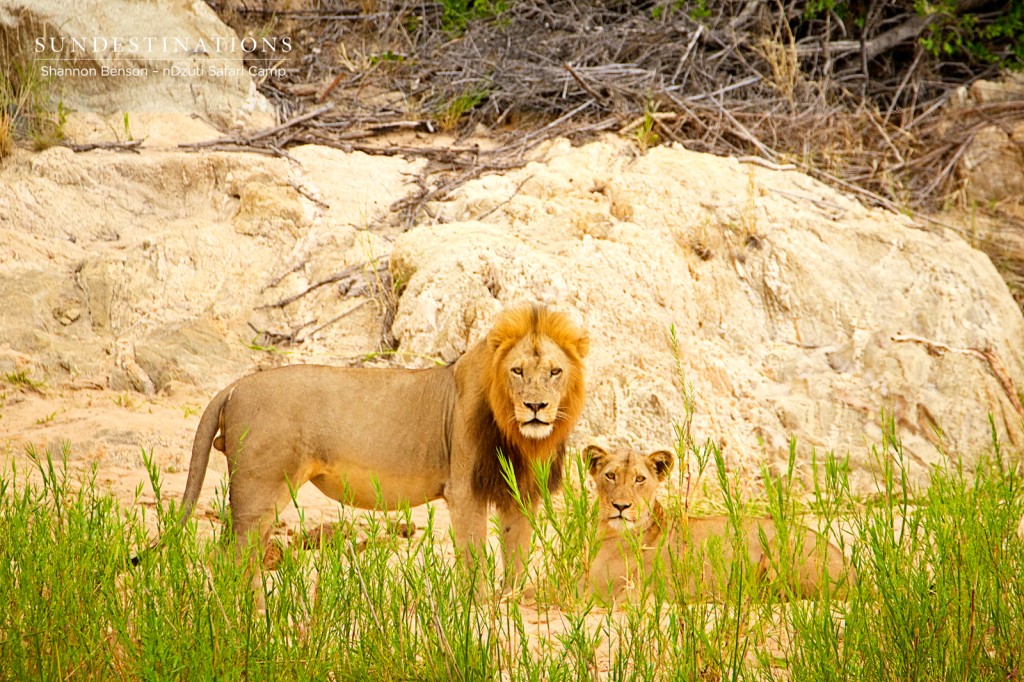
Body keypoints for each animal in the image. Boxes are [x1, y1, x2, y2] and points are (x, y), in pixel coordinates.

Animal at [156, 303, 589, 577]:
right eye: (517, 371)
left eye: (554, 372)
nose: (536, 406)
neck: (520, 437)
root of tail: (233, 387)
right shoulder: (465, 490)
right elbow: (475, 566)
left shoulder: (522, 495)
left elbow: (517, 563)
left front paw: (508, 610)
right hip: (258, 491)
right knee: (234, 562)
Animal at [581, 446, 851, 602]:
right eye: (610, 475)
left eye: (639, 479)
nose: (621, 506)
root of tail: (853, 571)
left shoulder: (602, 593)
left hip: (779, 549)